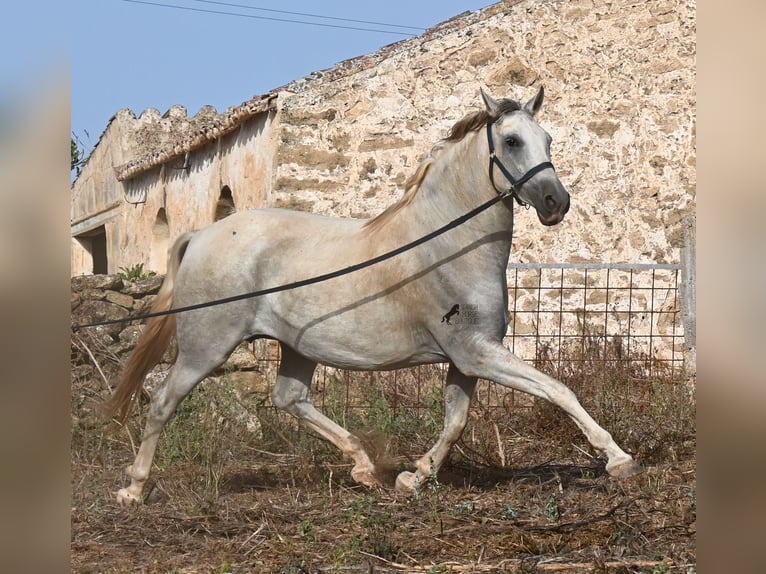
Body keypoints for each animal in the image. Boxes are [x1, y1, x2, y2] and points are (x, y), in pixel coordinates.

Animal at [107, 86, 643, 505]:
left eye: (547, 139)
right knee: (163, 401)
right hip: (207, 345)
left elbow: (455, 422)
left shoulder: (466, 358)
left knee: (290, 399)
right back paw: (133, 488)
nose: (556, 203)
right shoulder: (476, 353)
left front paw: (412, 478)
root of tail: (201, 235)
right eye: (512, 141)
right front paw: (619, 459)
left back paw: (364, 467)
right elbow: (558, 389)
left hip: (297, 346)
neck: (446, 245)